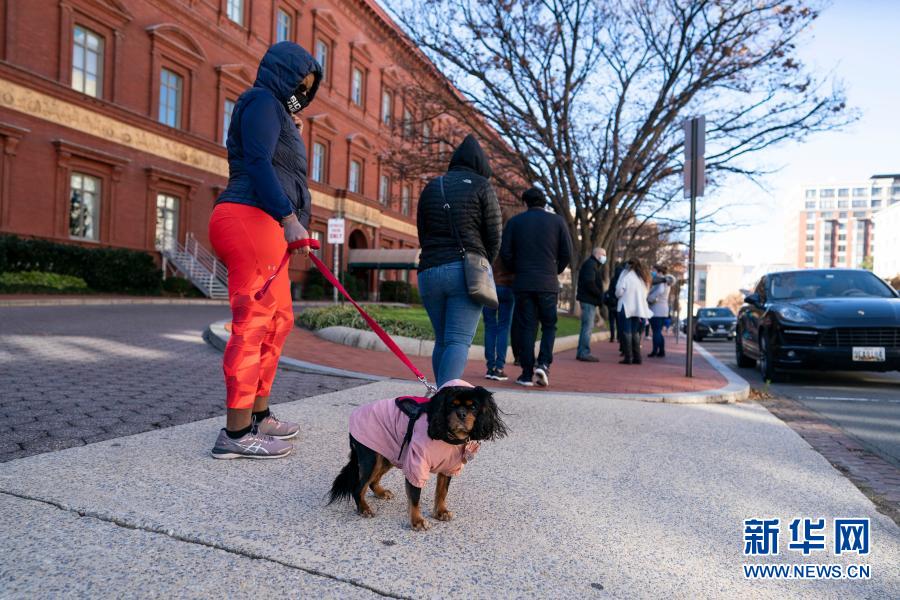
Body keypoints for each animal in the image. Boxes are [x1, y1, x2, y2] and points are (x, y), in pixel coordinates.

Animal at [326, 382, 506, 532]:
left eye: (473, 407)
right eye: (451, 406)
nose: (461, 414)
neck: (448, 437)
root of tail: (356, 414)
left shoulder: (448, 468)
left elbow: (442, 492)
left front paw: (441, 512)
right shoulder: (416, 465)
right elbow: (415, 497)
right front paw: (417, 521)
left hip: (388, 454)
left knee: (372, 481)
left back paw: (380, 492)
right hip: (372, 458)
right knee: (358, 487)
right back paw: (364, 508)